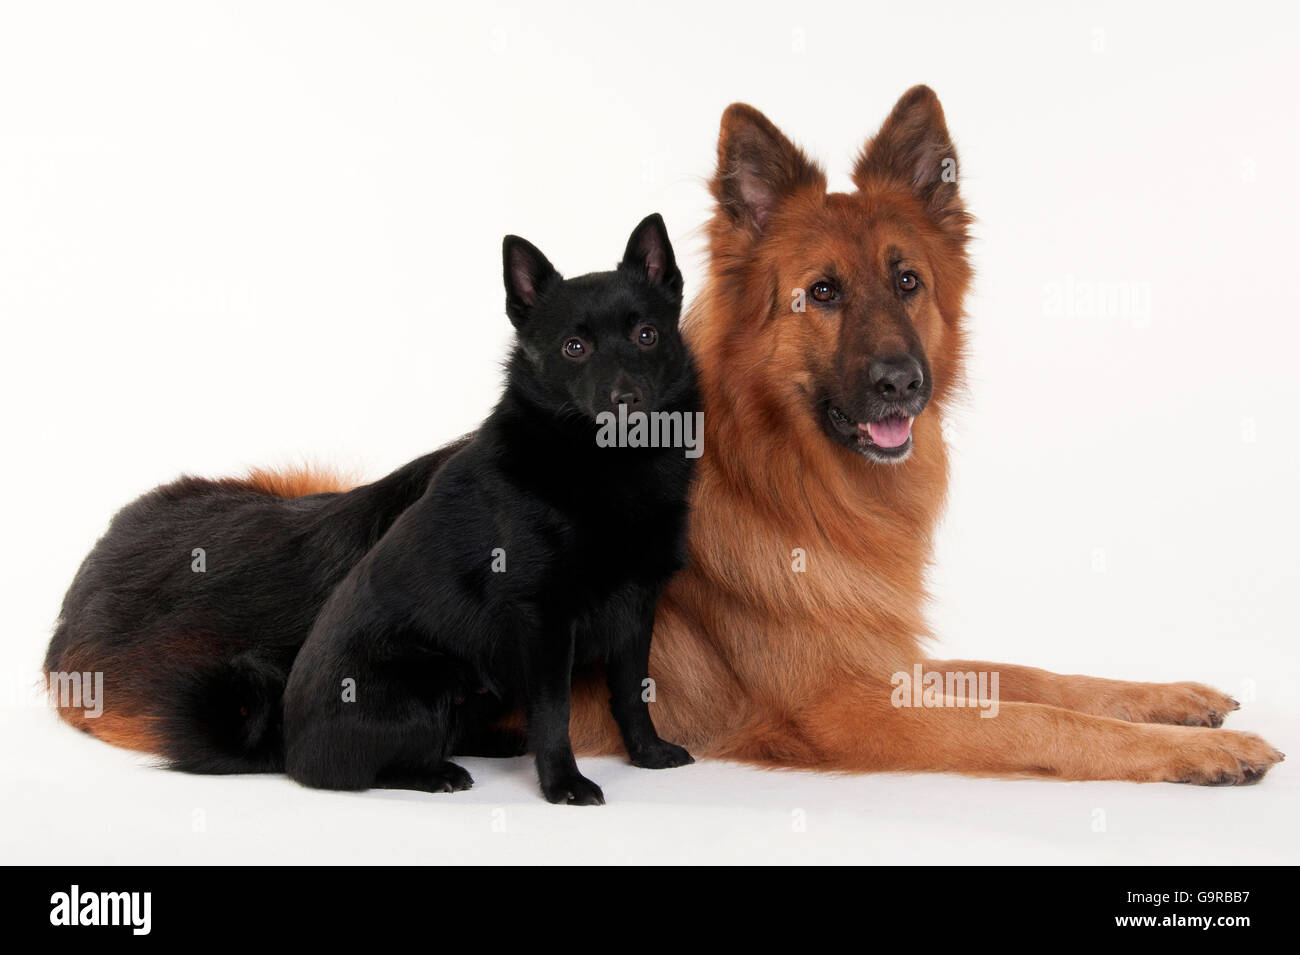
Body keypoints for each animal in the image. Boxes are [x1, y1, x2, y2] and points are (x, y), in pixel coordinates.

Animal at [279, 213, 696, 805]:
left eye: (647, 335)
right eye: (574, 347)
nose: (626, 400)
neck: (607, 468)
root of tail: (288, 752)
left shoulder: (638, 607)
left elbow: (634, 692)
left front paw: (647, 753)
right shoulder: (543, 619)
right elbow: (555, 711)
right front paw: (563, 784)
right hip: (424, 683)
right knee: (365, 769)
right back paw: (438, 774)